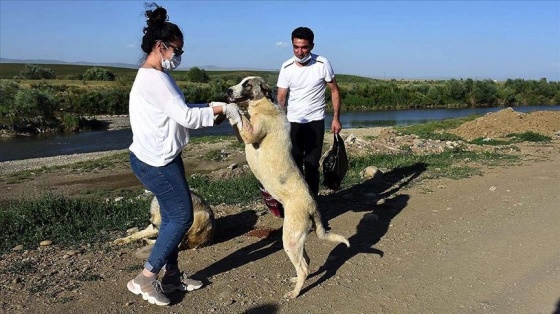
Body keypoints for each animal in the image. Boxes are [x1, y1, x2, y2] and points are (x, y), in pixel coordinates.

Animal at [225, 76, 348, 300]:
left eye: (247, 84)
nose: (228, 91)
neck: (263, 104)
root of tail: (312, 205)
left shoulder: (251, 134)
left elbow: (240, 116)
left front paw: (229, 108)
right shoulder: (243, 135)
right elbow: (237, 122)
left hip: (290, 239)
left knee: (303, 267)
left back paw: (295, 293)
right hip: (296, 239)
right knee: (306, 262)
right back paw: (297, 281)